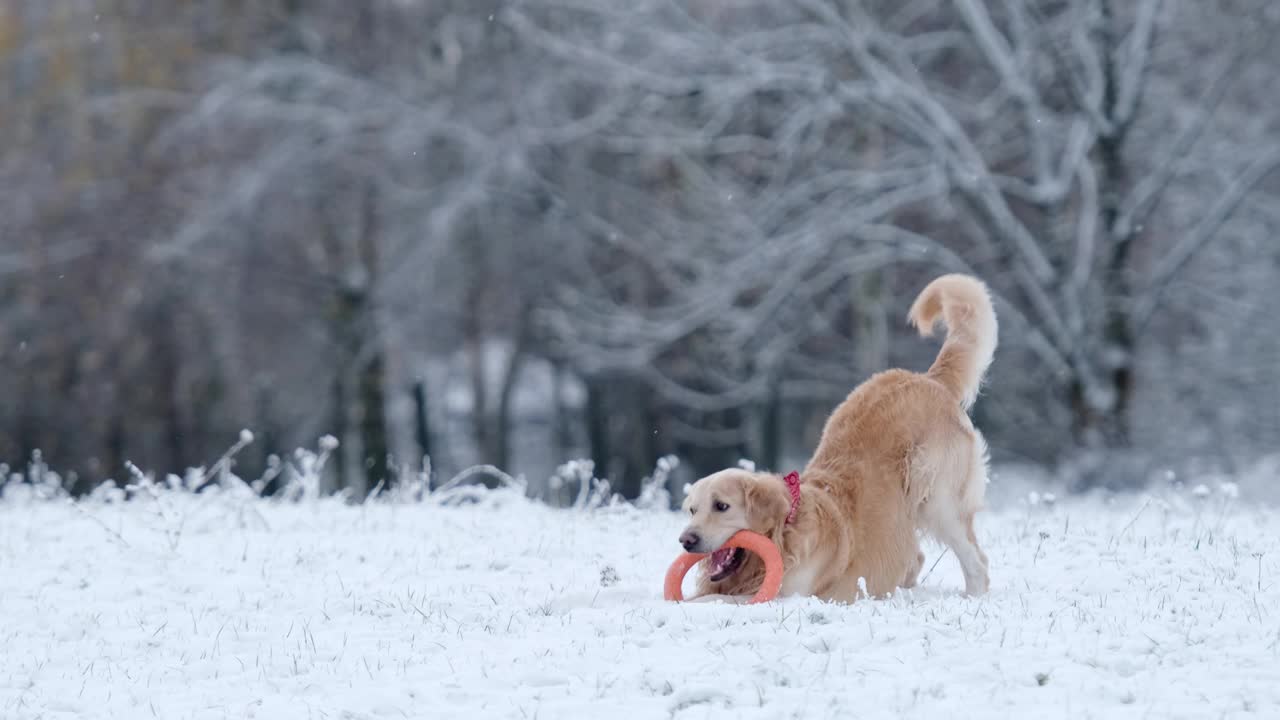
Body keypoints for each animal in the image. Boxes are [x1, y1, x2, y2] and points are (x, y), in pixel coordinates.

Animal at [675, 274, 993, 599]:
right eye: (692, 510)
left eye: (721, 506)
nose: (686, 540)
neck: (785, 531)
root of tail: (929, 378)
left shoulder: (788, 592)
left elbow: (715, 598)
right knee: (915, 559)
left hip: (938, 497)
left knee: (976, 561)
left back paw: (972, 596)